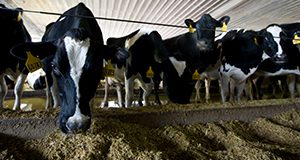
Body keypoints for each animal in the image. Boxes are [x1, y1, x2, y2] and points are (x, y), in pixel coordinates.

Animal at [10, 2, 127, 134]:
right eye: (55, 67)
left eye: (96, 69)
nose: (75, 124)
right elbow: (55, 92)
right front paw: (55, 107)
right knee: (49, 89)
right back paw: (49, 105)